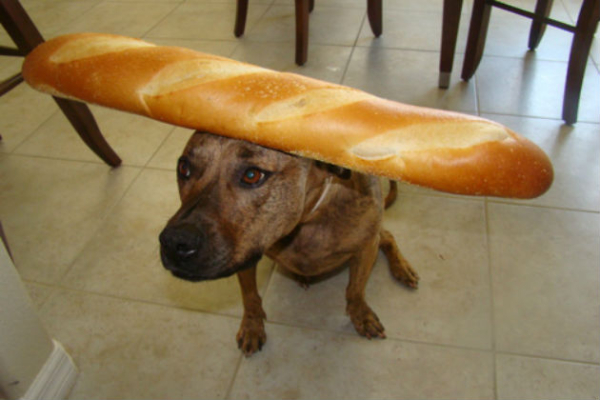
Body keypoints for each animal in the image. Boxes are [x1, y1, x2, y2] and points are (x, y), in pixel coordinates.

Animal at [161, 132, 422, 356]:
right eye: (184, 168)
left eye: (252, 175)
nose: (173, 242)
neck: (308, 219)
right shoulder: (246, 257)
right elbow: (250, 297)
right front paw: (252, 326)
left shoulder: (365, 247)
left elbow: (355, 290)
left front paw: (361, 314)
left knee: (387, 236)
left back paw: (402, 268)